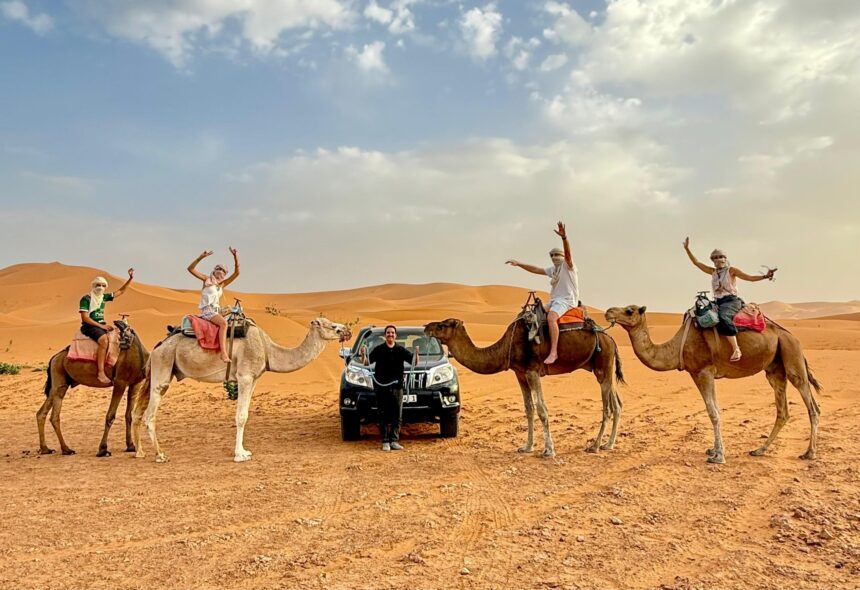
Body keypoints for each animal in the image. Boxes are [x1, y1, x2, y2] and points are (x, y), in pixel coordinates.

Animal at [37, 320, 148, 457]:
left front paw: (131, 446)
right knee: (54, 416)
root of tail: (53, 358)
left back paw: (45, 449)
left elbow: (129, 416)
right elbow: (110, 416)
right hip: (59, 379)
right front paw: (103, 449)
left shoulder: (135, 384)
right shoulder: (120, 382)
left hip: (58, 383)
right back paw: (66, 449)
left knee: (41, 412)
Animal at [133, 317, 349, 463]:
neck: (268, 349)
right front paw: (239, 455)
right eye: (332, 326)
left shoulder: (253, 379)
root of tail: (157, 347)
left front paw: (244, 451)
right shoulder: (245, 376)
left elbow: (245, 413)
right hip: (163, 366)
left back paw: (140, 451)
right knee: (150, 414)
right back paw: (160, 454)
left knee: (138, 411)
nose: (347, 330)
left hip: (162, 369)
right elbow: (241, 416)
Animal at [424, 317, 624, 457]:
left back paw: (595, 446)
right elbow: (529, 408)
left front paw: (548, 450)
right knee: (617, 405)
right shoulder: (520, 373)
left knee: (607, 408)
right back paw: (608, 444)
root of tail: (612, 339)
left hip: (603, 365)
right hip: (604, 369)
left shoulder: (532, 371)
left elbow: (542, 409)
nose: (426, 327)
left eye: (442, 325)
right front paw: (527, 447)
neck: (506, 347)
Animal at [604, 305, 821, 464]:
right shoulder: (697, 374)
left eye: (629, 310)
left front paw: (718, 456)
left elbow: (713, 412)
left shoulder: (704, 371)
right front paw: (714, 450)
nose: (608, 312)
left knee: (812, 406)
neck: (676, 347)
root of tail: (792, 336)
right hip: (775, 368)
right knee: (782, 410)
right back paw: (760, 450)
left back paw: (809, 453)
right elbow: (715, 409)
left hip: (791, 355)